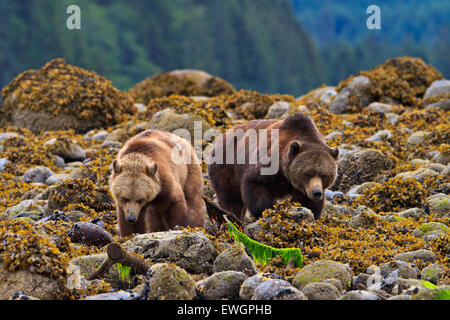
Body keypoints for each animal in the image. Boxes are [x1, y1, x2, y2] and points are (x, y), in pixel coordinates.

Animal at [207, 114, 338, 221]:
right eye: (307, 173)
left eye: (324, 175)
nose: (317, 192)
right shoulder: (269, 163)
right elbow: (254, 184)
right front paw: (268, 211)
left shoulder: (302, 187)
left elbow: (307, 203)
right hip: (226, 166)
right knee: (231, 199)